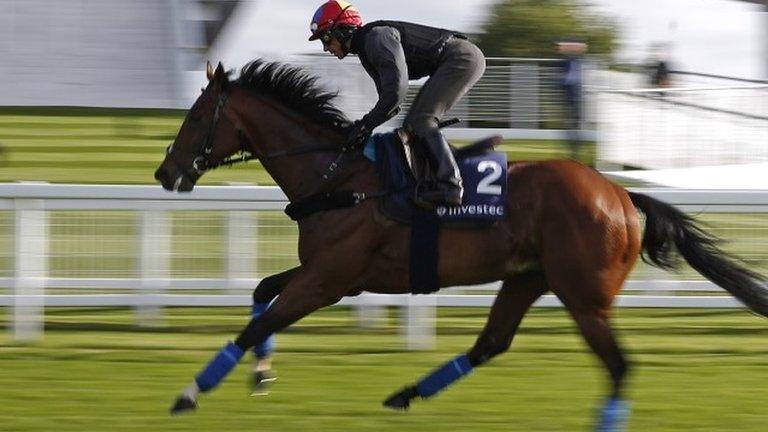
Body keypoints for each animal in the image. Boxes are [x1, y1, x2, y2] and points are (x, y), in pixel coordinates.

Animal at [154, 60, 768, 428]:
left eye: (196, 117)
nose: (166, 173)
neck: (337, 176)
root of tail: (620, 193)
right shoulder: (335, 276)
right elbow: (262, 293)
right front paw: (261, 373)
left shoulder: (329, 280)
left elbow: (255, 322)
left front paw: (189, 392)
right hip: (529, 277)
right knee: (490, 344)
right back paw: (405, 394)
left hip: (584, 295)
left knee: (618, 366)